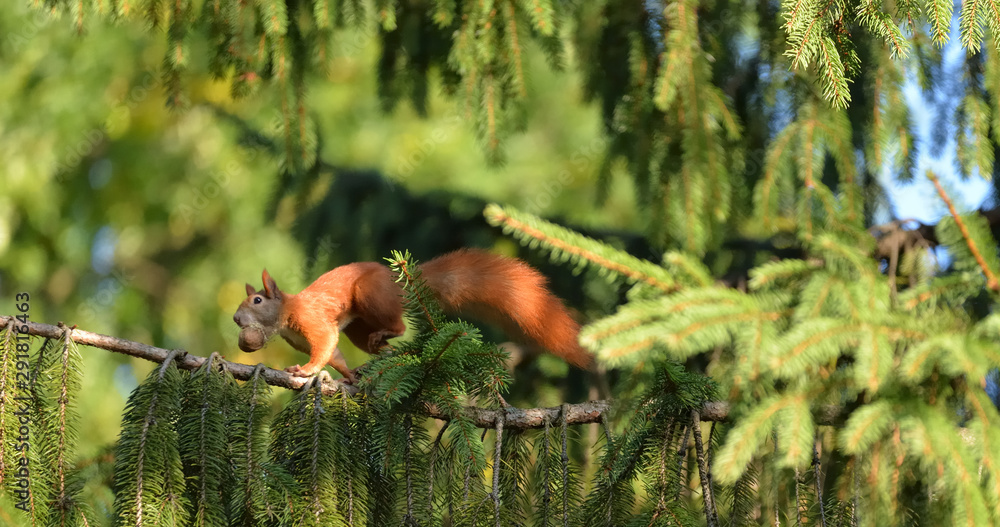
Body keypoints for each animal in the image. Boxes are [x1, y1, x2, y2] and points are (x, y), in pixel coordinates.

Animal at [232, 249, 592, 383]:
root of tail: (397, 283)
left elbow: (323, 344)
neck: (286, 312)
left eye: (257, 300)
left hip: (370, 295)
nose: (236, 319)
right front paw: (348, 376)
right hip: (358, 329)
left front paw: (305, 370)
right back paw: (380, 359)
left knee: (400, 325)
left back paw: (389, 337)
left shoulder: (312, 322)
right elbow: (335, 355)